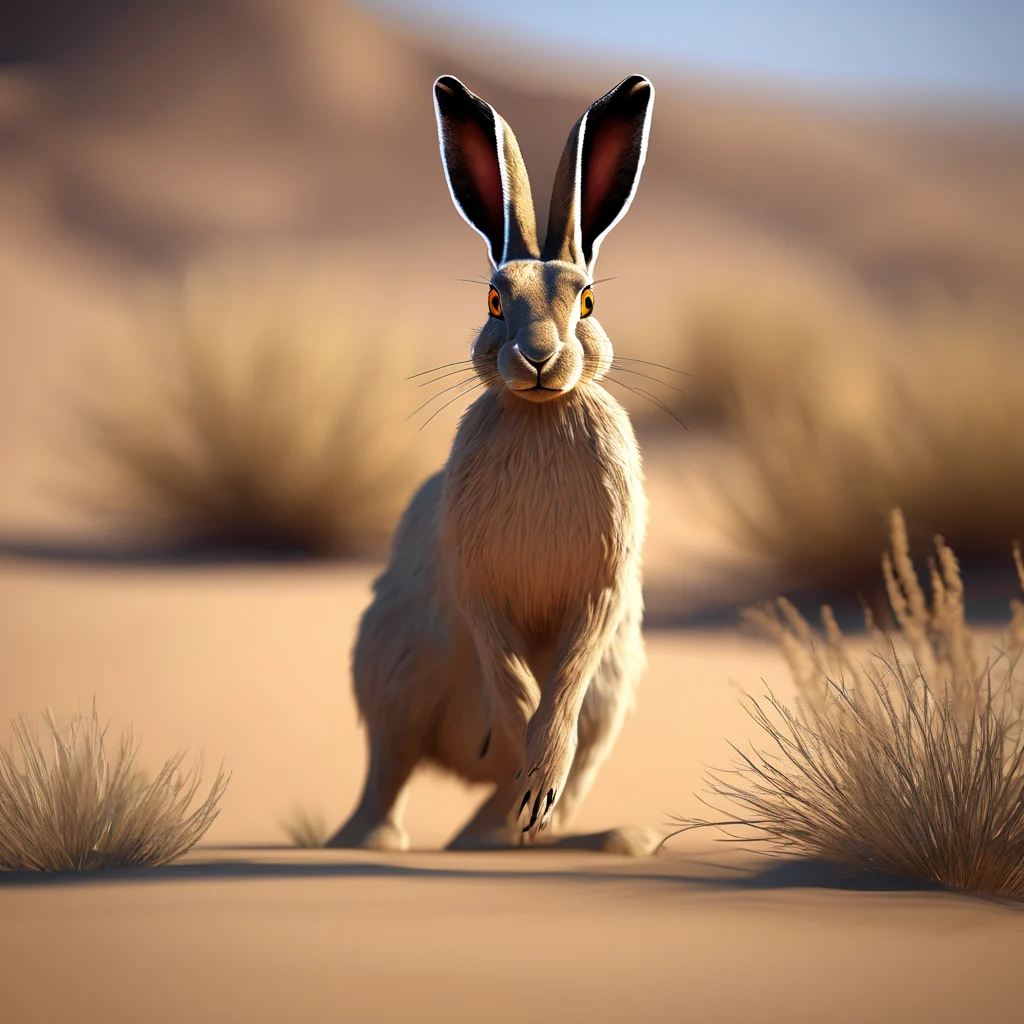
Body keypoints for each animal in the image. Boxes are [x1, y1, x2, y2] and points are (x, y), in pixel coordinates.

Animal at [327, 73, 656, 854]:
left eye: (587, 302)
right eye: (494, 300)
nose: (538, 358)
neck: (538, 414)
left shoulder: (600, 591)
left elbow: (564, 676)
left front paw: (536, 759)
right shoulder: (478, 585)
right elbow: (508, 673)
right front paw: (517, 739)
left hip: (609, 699)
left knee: (508, 809)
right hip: (397, 662)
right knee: (388, 769)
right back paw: (369, 842)